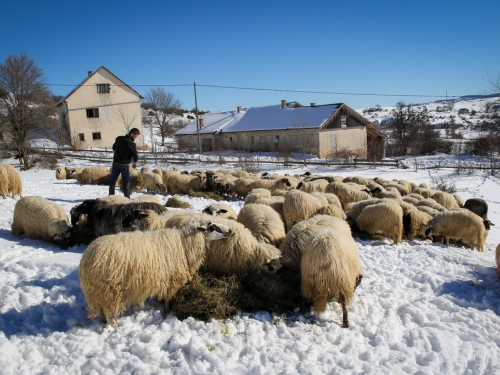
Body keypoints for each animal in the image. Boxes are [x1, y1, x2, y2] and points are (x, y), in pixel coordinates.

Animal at [79, 220, 232, 328]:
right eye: (212, 226)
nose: (230, 230)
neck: (185, 244)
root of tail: (87, 256)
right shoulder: (173, 278)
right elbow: (168, 298)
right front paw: (166, 312)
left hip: (99, 290)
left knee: (101, 309)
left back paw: (103, 322)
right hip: (109, 289)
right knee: (108, 311)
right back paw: (115, 327)